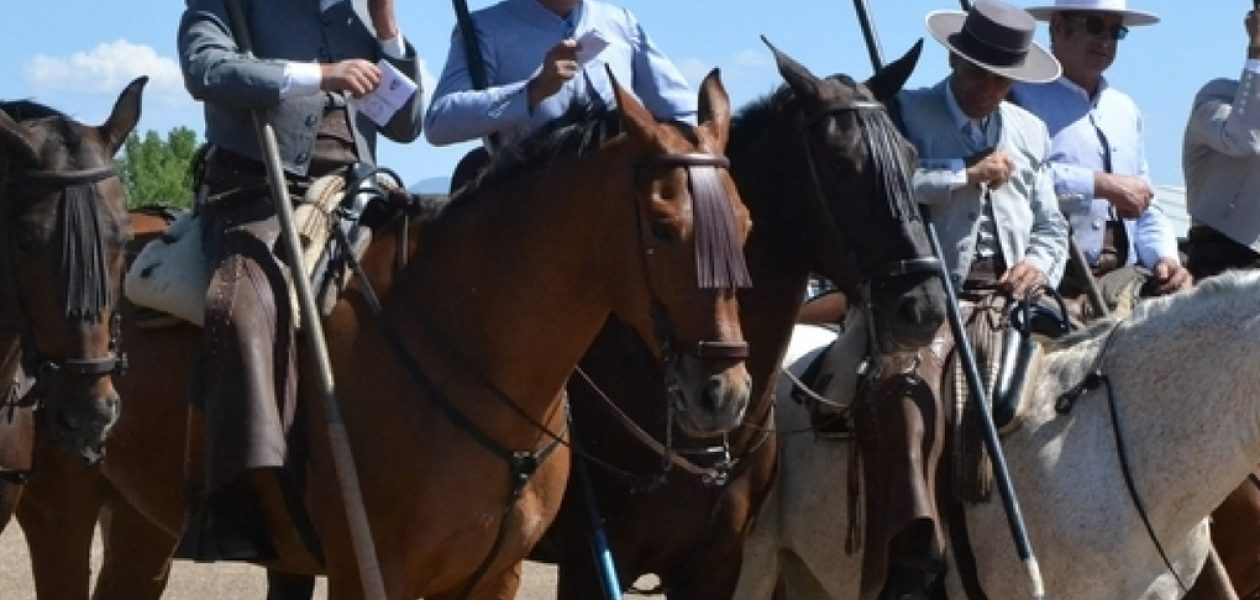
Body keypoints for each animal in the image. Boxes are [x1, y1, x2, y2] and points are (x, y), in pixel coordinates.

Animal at [19, 71, 750, 600]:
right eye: (663, 227)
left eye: (743, 224)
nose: (723, 392)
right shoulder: (368, 574)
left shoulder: (494, 578)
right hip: (58, 509)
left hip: (140, 518)